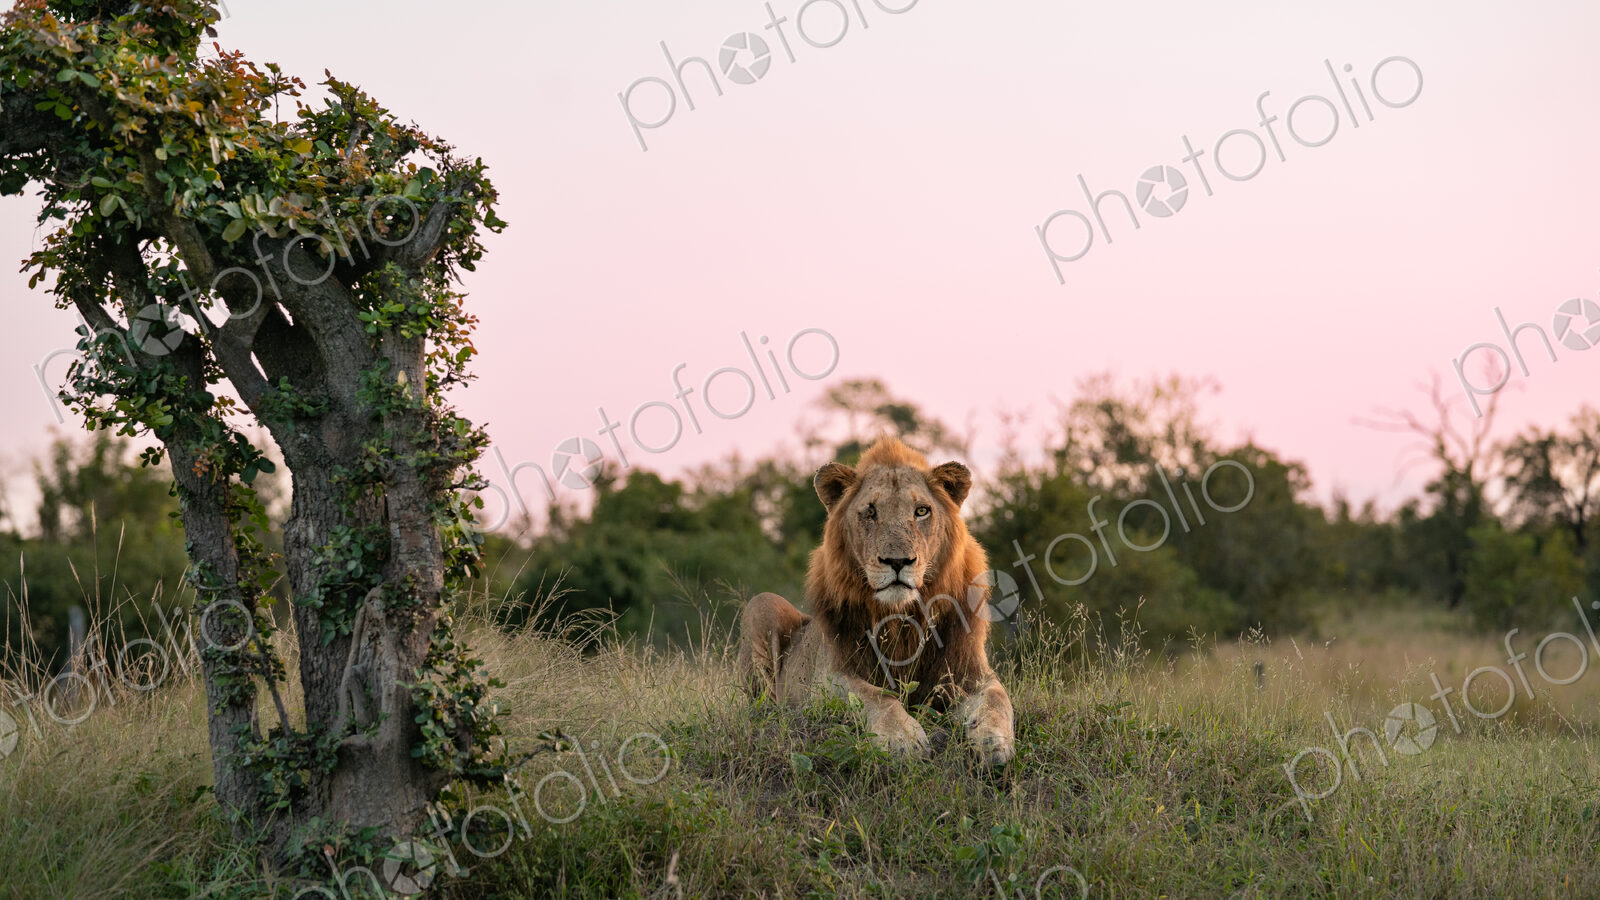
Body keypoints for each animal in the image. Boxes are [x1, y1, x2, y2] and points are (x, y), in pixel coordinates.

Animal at [738, 437, 1016, 766]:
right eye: (870, 512)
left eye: (922, 511)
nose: (897, 561)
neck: (902, 618)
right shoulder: (830, 676)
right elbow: (876, 696)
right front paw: (903, 739)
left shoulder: (969, 673)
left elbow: (998, 698)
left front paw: (994, 742)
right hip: (761, 604)